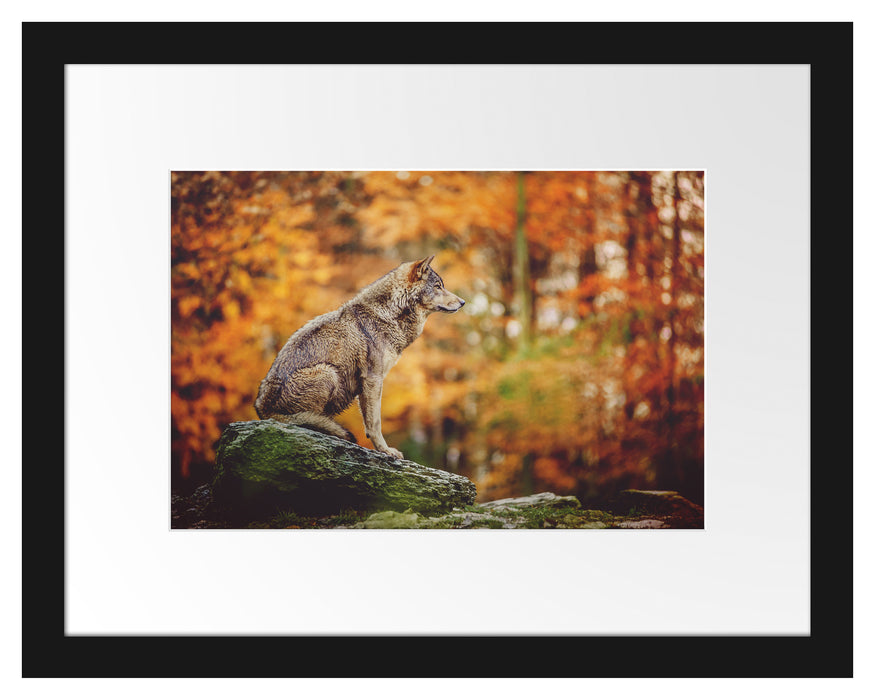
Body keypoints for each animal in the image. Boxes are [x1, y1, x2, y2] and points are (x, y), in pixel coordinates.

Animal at [254, 255, 465, 459]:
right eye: (438, 286)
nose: (463, 302)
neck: (387, 315)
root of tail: (262, 409)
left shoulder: (367, 384)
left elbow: (370, 422)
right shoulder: (373, 379)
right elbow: (375, 422)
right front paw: (386, 451)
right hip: (328, 372)